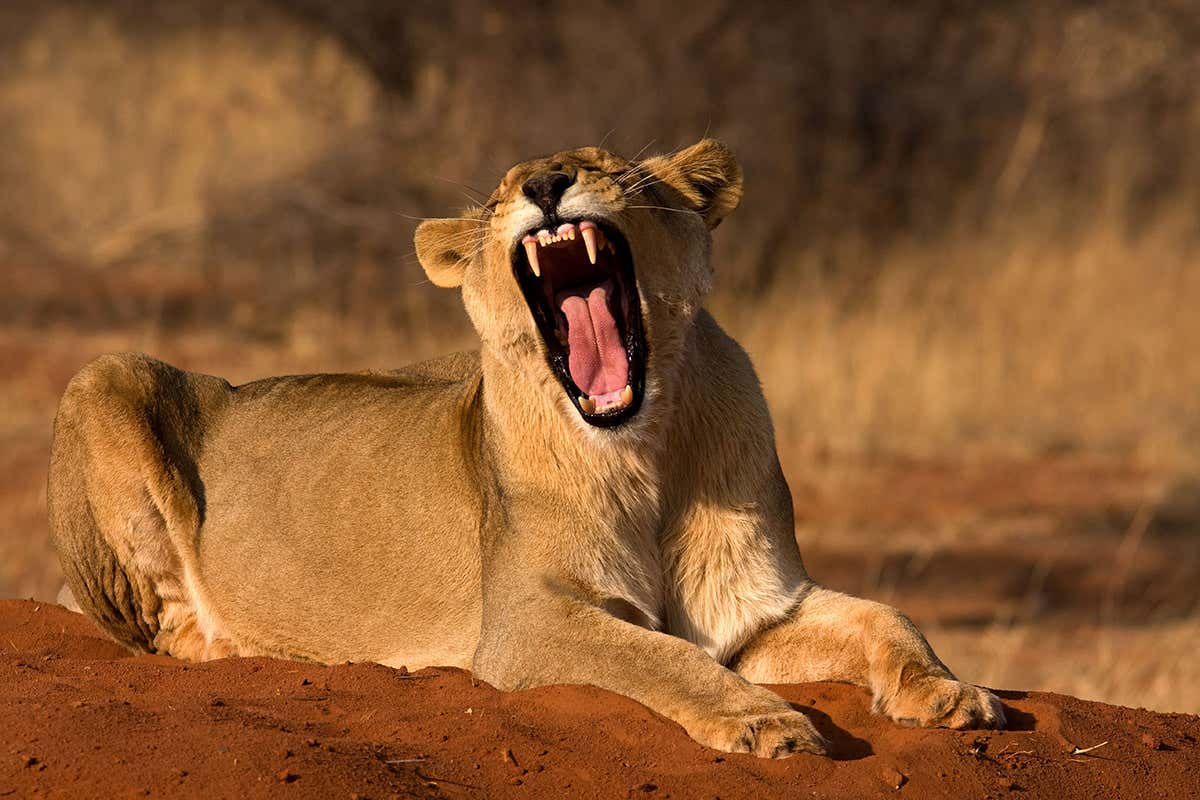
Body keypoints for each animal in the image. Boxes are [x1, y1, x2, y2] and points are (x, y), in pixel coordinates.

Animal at [48, 139, 1004, 758]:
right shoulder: (525, 621)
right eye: (505, 188)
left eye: (606, 166)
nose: (547, 183)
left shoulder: (758, 610)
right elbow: (659, 654)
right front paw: (766, 721)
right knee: (150, 629)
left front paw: (952, 693)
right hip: (104, 372)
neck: (646, 451)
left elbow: (889, 616)